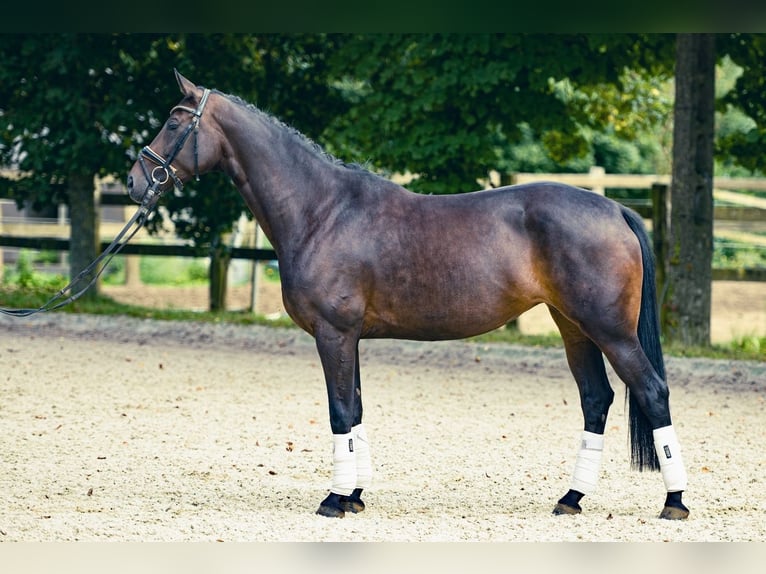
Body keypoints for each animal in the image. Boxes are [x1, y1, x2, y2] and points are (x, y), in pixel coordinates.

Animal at [126, 71, 688, 520]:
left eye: (174, 122)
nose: (135, 182)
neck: (322, 210)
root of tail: (614, 208)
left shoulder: (333, 333)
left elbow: (339, 411)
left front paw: (334, 500)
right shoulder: (350, 338)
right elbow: (354, 411)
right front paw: (355, 495)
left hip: (611, 331)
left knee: (652, 392)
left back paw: (674, 502)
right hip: (573, 328)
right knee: (596, 400)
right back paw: (571, 498)